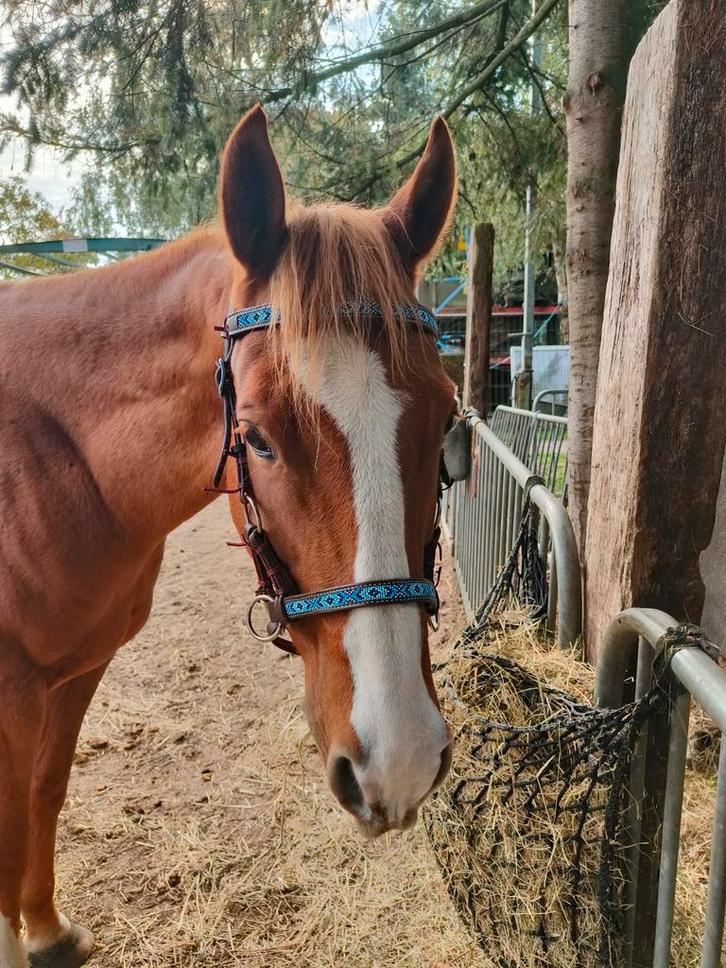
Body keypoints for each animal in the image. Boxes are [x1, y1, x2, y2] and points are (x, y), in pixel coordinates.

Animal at [0, 105, 457, 967]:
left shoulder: (73, 673)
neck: (46, 452)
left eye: (448, 417)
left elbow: (45, 790)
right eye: (257, 438)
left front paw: (45, 930)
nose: (402, 758)